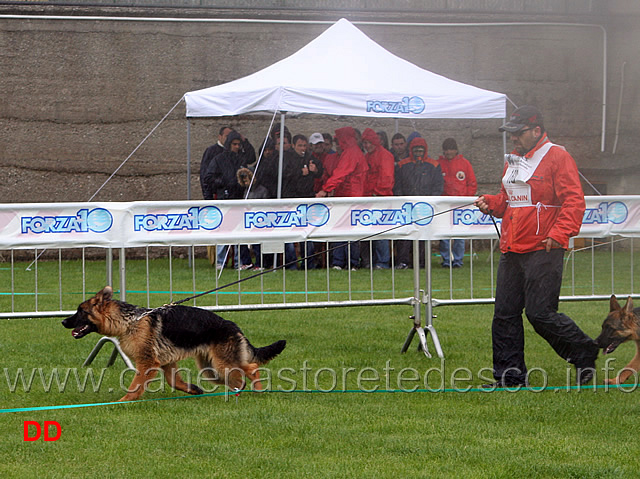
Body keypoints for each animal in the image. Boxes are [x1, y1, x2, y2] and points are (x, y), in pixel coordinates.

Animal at [61, 286, 286, 404]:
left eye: (81, 311)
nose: (63, 322)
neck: (129, 321)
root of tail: (233, 325)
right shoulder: (166, 363)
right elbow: (173, 381)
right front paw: (193, 389)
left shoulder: (147, 363)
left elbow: (135, 385)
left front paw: (123, 401)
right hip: (211, 369)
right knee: (239, 375)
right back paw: (238, 391)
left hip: (222, 364)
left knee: (252, 367)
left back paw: (256, 391)